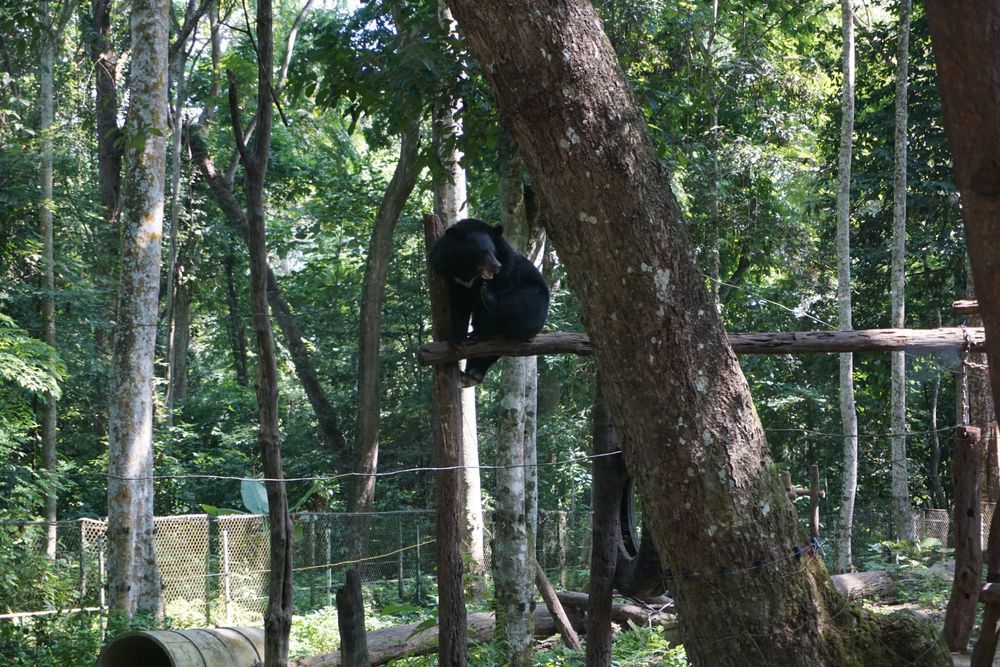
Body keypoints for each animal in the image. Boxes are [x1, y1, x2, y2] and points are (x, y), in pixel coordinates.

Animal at [430, 217, 552, 388]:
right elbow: (459, 307)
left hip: (536, 304)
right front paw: (457, 339)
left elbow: (489, 309)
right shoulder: (452, 277)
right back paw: (471, 374)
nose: (496, 266)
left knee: (522, 302)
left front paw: (481, 331)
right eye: (481, 252)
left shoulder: (506, 269)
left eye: (493, 251)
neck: (468, 272)